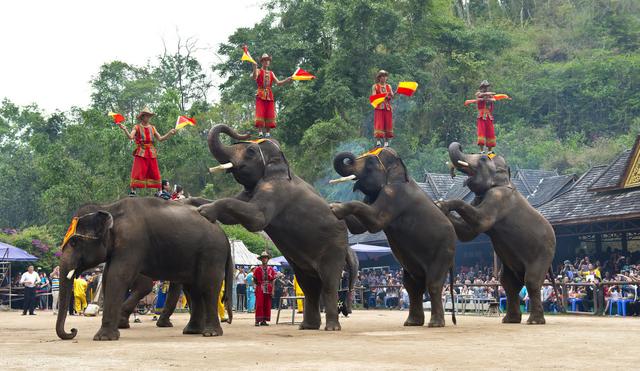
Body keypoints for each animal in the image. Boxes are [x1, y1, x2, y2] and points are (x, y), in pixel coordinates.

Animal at [56, 199, 234, 342]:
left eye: (74, 243)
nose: (73, 330)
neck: (109, 207)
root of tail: (224, 235)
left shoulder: (132, 242)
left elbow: (117, 276)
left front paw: (103, 338)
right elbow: (107, 277)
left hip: (212, 253)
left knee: (208, 286)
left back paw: (210, 333)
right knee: (193, 288)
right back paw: (192, 331)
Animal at [196, 124, 356, 332]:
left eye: (250, 151)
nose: (245, 132)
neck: (280, 163)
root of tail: (347, 246)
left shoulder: (276, 190)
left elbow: (257, 218)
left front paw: (204, 211)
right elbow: (234, 213)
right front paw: (195, 203)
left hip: (333, 249)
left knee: (328, 283)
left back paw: (331, 328)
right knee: (309, 285)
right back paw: (307, 327)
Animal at [328, 148, 458, 328]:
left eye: (370, 163)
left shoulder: (394, 194)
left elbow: (375, 221)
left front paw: (335, 208)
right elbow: (359, 227)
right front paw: (332, 204)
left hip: (443, 251)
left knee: (433, 284)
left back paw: (435, 324)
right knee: (412, 286)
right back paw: (412, 323)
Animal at [440, 142, 556, 326]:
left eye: (481, 159)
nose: (460, 145)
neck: (504, 180)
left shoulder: (498, 198)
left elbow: (481, 222)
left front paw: (441, 204)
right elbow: (468, 233)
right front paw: (438, 206)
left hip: (544, 253)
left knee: (531, 281)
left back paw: (534, 322)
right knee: (509, 284)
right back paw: (510, 320)